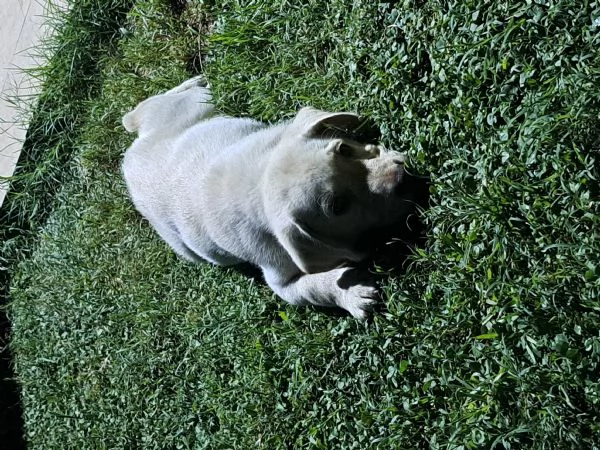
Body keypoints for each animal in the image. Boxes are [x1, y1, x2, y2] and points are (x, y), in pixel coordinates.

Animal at [122, 77, 408, 318]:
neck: (259, 187)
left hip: (193, 108)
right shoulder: (280, 277)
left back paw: (193, 81)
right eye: (338, 206)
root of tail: (132, 154)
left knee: (140, 110)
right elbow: (313, 288)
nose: (400, 177)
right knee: (135, 112)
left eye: (344, 149)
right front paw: (353, 295)